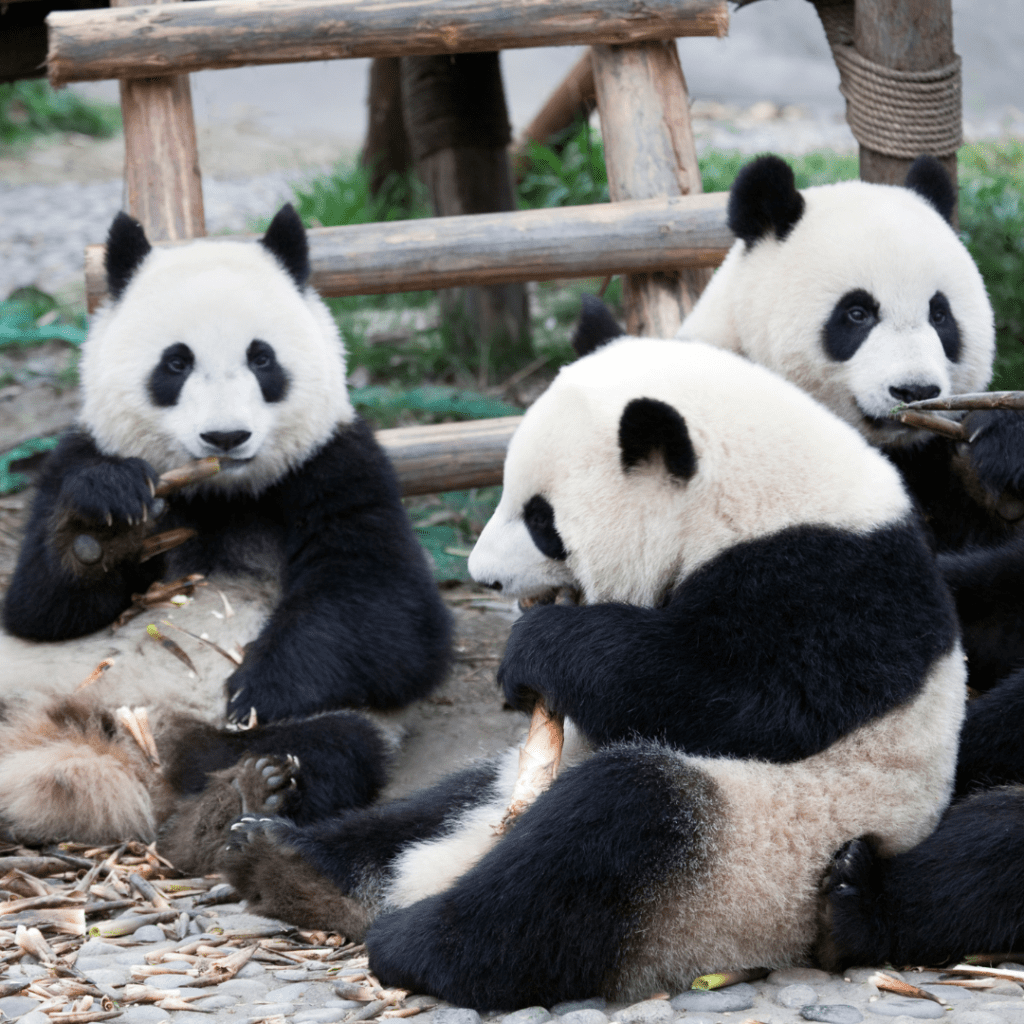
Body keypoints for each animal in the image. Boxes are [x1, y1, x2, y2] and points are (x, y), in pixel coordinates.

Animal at [0, 206, 452, 849]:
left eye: (262, 358)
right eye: (176, 362)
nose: (225, 437)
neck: (221, 491)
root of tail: (121, 744)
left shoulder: (335, 466)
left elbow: (395, 620)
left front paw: (257, 688)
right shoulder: (77, 454)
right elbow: (37, 611)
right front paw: (99, 529)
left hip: (286, 728)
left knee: (327, 747)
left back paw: (237, 801)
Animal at [210, 336, 965, 1009]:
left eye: (541, 518)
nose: (483, 576)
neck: (758, 494)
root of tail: (446, 867)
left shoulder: (831, 582)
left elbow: (753, 700)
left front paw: (536, 649)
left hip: (758, 863)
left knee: (608, 829)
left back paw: (413, 941)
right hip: (520, 788)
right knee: (430, 807)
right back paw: (280, 856)